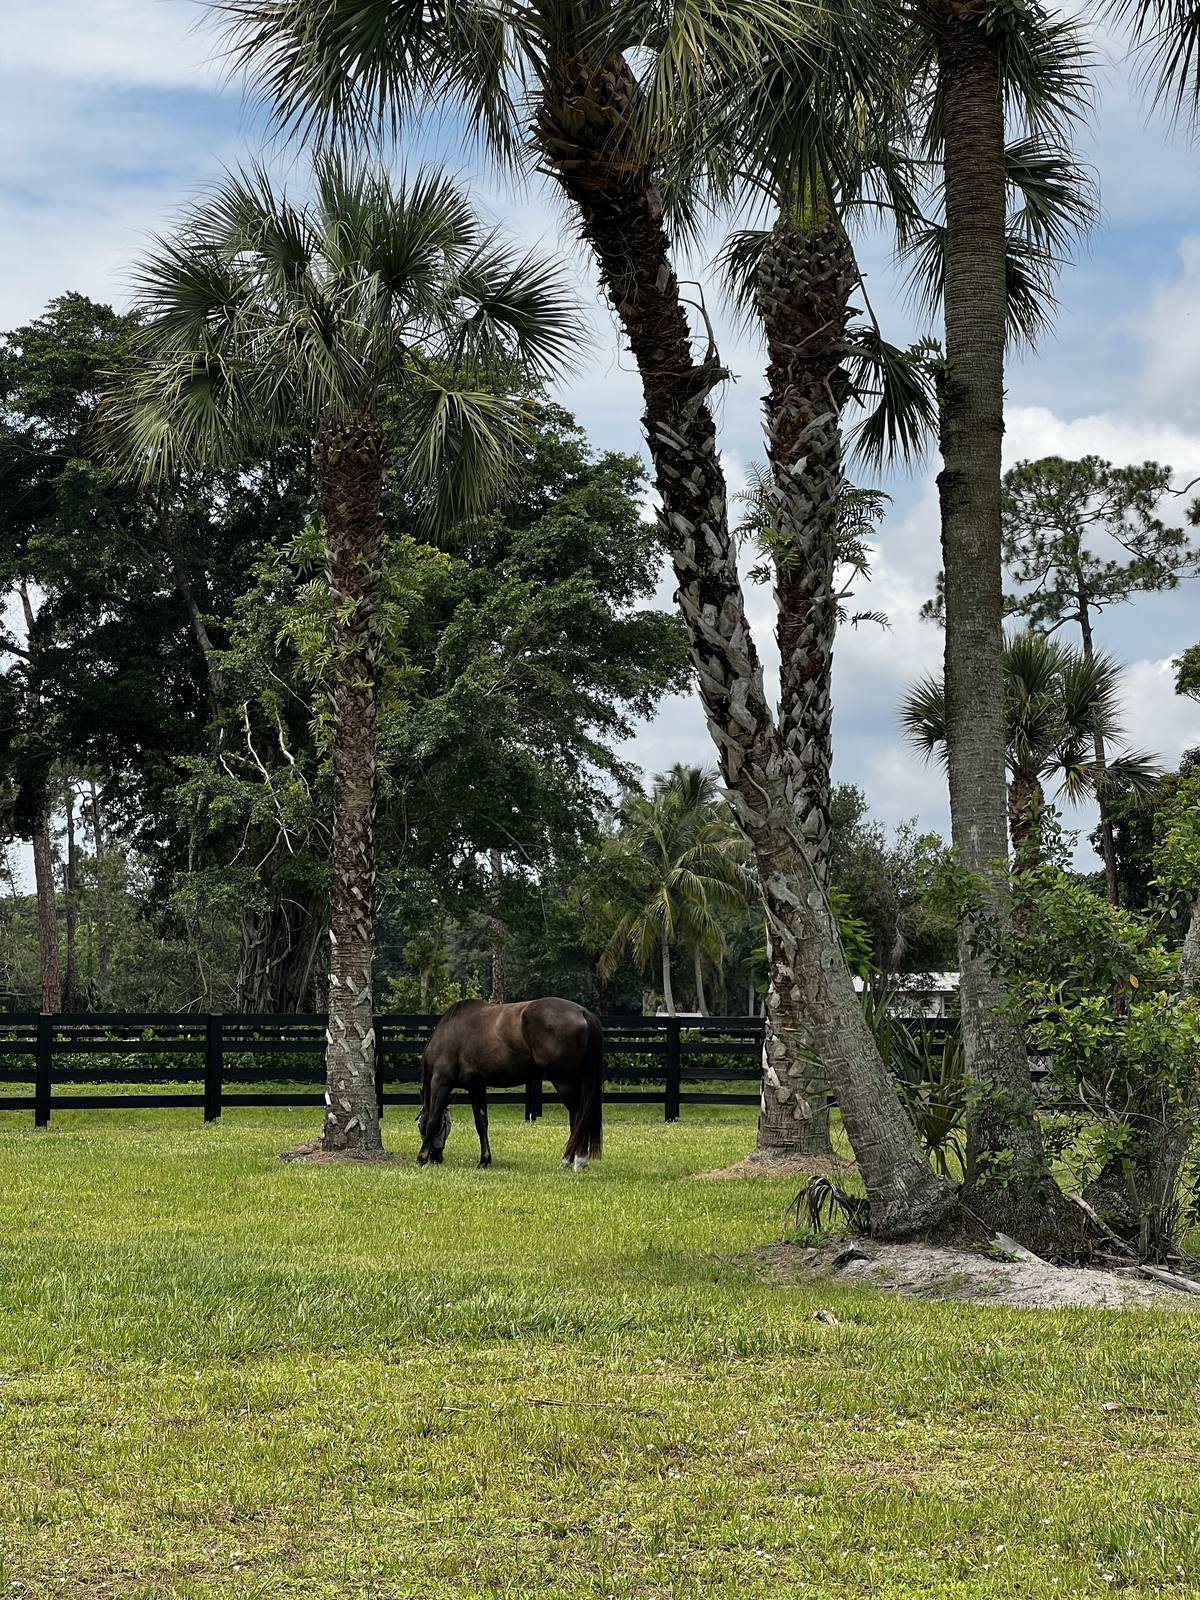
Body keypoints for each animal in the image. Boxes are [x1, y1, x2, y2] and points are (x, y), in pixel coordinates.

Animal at [417, 997, 603, 1170]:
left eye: (420, 1126)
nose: (437, 1158)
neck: (447, 1034)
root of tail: (582, 1012)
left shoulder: (441, 1082)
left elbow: (433, 1120)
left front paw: (421, 1157)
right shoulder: (476, 1087)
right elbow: (481, 1123)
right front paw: (484, 1160)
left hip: (564, 1083)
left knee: (578, 1117)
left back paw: (573, 1160)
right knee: (576, 1118)